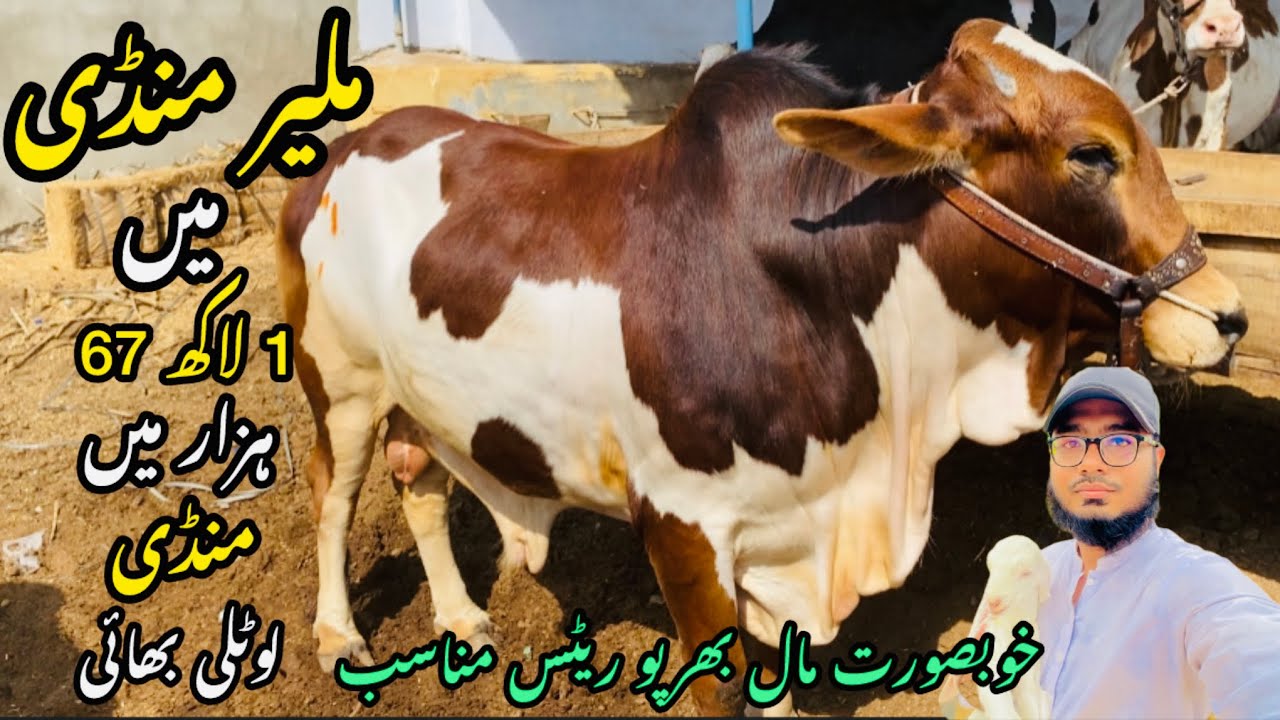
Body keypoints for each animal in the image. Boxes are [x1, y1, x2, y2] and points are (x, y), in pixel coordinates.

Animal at [276, 19, 1246, 716]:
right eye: (1091, 153)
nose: (1229, 315)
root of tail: (340, 151)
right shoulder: (680, 530)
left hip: (419, 398)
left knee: (422, 485)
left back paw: (459, 615)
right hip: (342, 387)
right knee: (331, 494)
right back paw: (336, 635)